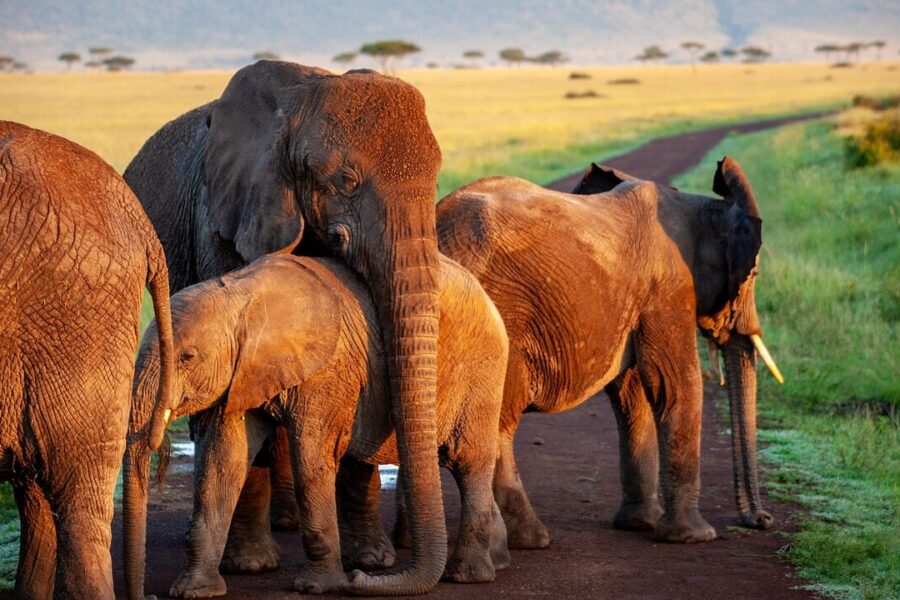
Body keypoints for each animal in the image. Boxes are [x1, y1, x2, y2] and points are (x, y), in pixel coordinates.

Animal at [123, 60, 447, 594]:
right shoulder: (224, 220)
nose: (359, 578)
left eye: (438, 182)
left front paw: (371, 561)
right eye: (345, 179)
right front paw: (251, 566)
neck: (299, 103)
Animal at [124, 253, 510, 597]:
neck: (240, 294)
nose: (358, 581)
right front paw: (193, 591)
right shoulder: (242, 374)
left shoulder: (325, 372)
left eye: (187, 357)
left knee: (469, 460)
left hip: (483, 366)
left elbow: (311, 457)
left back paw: (466, 575)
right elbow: (223, 461)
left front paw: (316, 587)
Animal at [433, 156, 781, 547]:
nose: (762, 520)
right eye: (754, 275)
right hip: (501, 316)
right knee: (497, 423)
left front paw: (640, 524)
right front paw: (694, 536)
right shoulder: (669, 289)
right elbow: (676, 384)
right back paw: (532, 539)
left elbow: (632, 394)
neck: (699, 207)